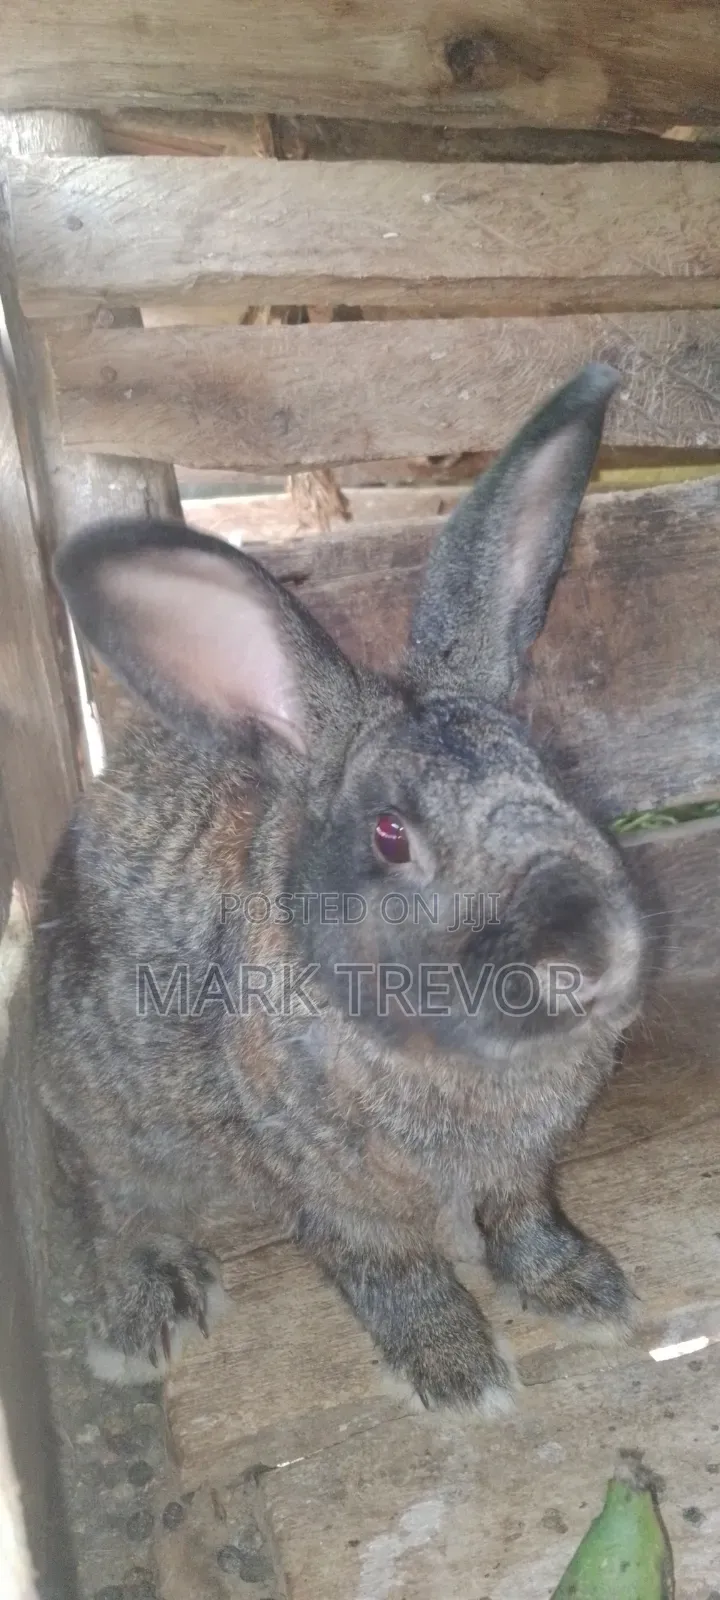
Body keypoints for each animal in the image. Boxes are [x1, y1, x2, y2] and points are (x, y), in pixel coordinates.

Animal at [32, 363, 647, 1411]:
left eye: (555, 775)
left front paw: (584, 1291)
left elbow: (522, 1221)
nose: (589, 957)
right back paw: (151, 1310)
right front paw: (459, 1373)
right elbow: (391, 1270)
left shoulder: (522, 1168)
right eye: (391, 835)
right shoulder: (335, 1189)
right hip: (108, 1117)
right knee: (121, 1208)